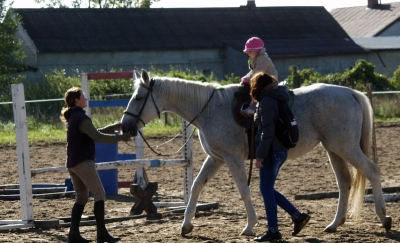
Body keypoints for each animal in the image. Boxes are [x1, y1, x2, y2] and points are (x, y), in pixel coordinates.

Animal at [121, 69, 390, 236]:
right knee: (344, 182)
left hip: (345, 147)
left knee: (373, 171)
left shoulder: (232, 159)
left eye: (139, 97)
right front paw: (186, 225)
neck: (209, 109)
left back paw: (384, 218)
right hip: (334, 149)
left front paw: (250, 226)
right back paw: (334, 224)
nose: (125, 126)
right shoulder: (216, 159)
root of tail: (350, 92)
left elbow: (243, 190)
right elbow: (196, 187)